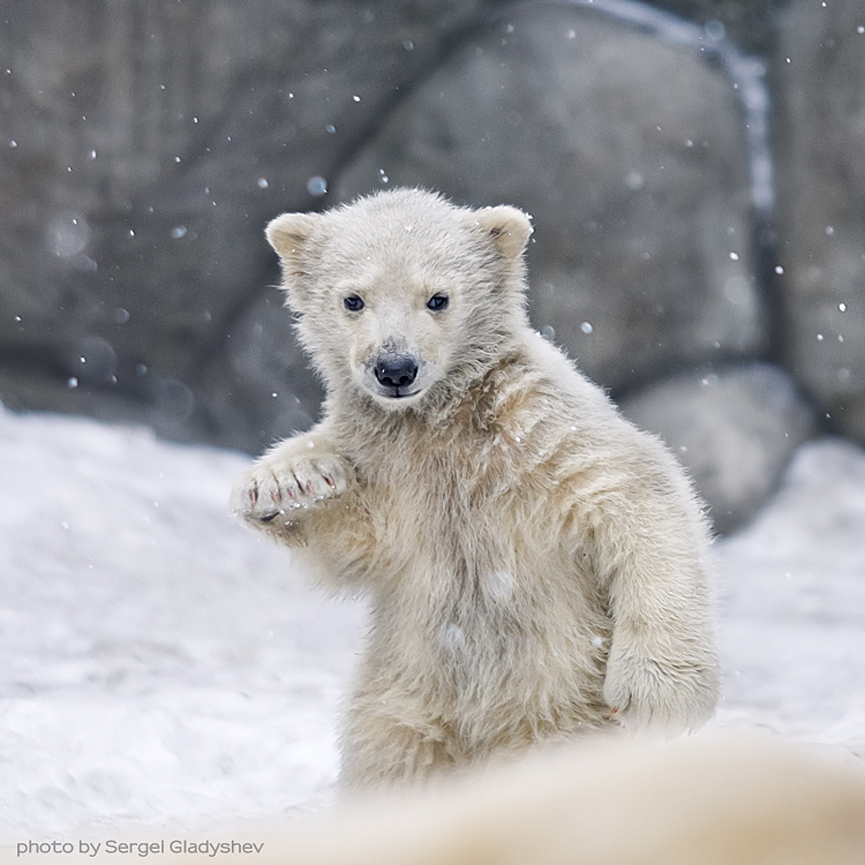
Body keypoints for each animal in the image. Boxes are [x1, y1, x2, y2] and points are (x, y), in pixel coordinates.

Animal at [230, 188, 720, 790]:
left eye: (438, 298)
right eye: (353, 299)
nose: (395, 369)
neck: (440, 421)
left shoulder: (537, 430)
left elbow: (632, 493)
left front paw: (656, 694)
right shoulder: (391, 465)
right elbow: (364, 541)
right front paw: (287, 481)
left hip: (562, 714)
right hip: (399, 700)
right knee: (390, 765)